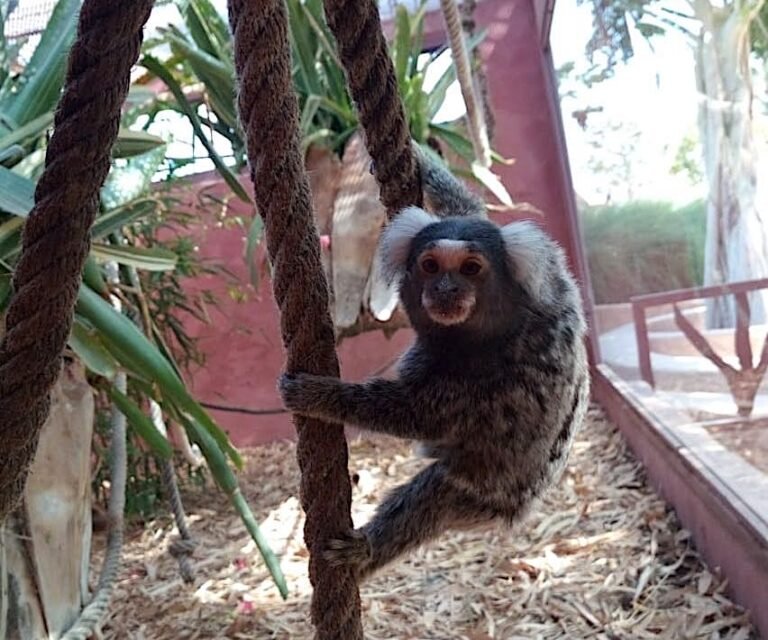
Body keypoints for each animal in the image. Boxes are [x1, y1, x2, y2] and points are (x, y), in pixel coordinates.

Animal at [280, 150, 592, 580]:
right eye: (430, 265)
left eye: (471, 268)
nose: (445, 290)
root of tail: (518, 509)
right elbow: (468, 208)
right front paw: (422, 161)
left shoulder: (498, 372)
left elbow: (420, 415)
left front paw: (318, 395)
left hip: (476, 496)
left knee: (428, 499)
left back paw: (365, 552)